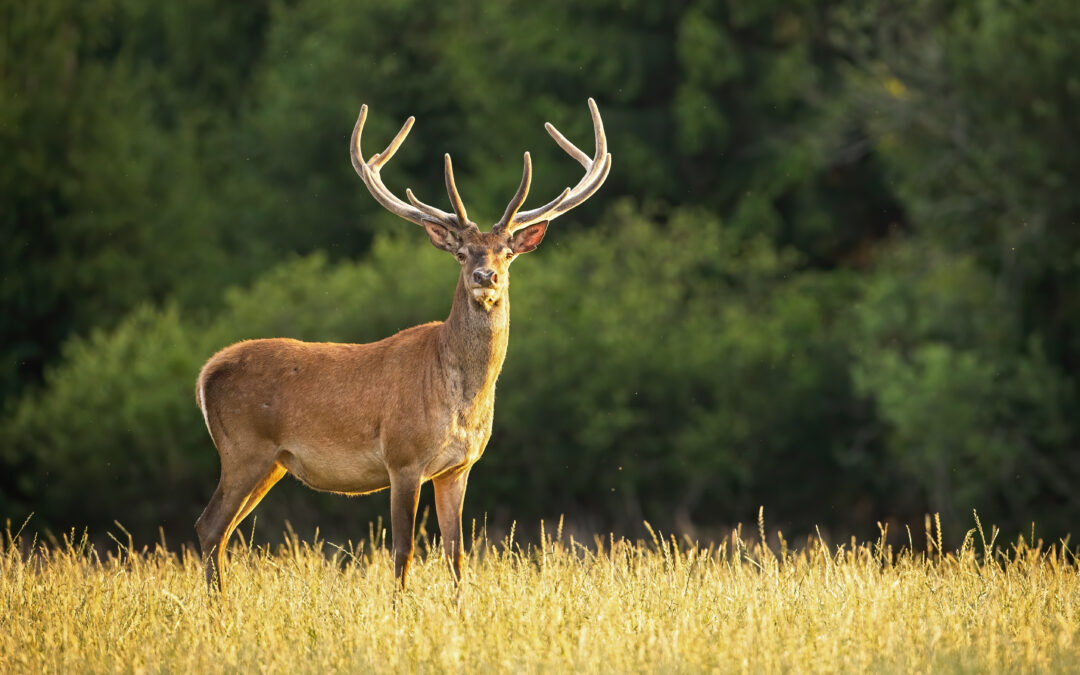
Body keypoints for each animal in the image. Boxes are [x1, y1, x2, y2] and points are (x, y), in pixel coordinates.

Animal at [194, 98, 613, 587]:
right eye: (461, 252)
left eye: (507, 252)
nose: (485, 276)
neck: (461, 400)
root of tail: (206, 373)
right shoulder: (403, 458)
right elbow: (403, 551)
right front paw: (399, 604)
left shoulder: (459, 467)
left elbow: (456, 553)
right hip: (244, 449)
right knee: (209, 525)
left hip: (272, 462)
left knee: (222, 531)